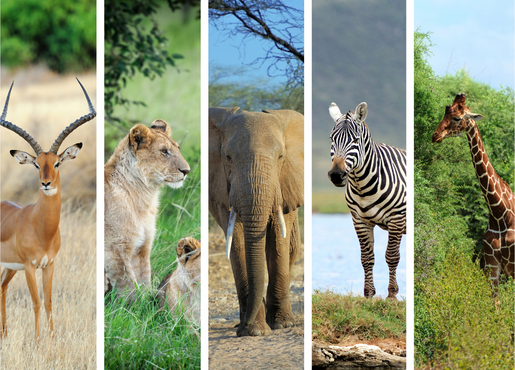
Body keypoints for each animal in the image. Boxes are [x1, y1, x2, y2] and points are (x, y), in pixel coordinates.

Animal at [210, 106, 304, 336]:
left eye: (281, 156)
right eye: (227, 157)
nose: (240, 328)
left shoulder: (285, 183)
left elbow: (278, 240)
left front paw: (281, 324)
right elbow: (237, 242)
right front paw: (253, 330)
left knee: (292, 249)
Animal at [326, 102, 408, 300]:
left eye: (355, 140)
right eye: (331, 139)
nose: (336, 175)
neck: (363, 186)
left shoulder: (397, 218)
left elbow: (392, 256)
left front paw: (391, 296)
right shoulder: (359, 220)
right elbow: (367, 257)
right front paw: (369, 295)